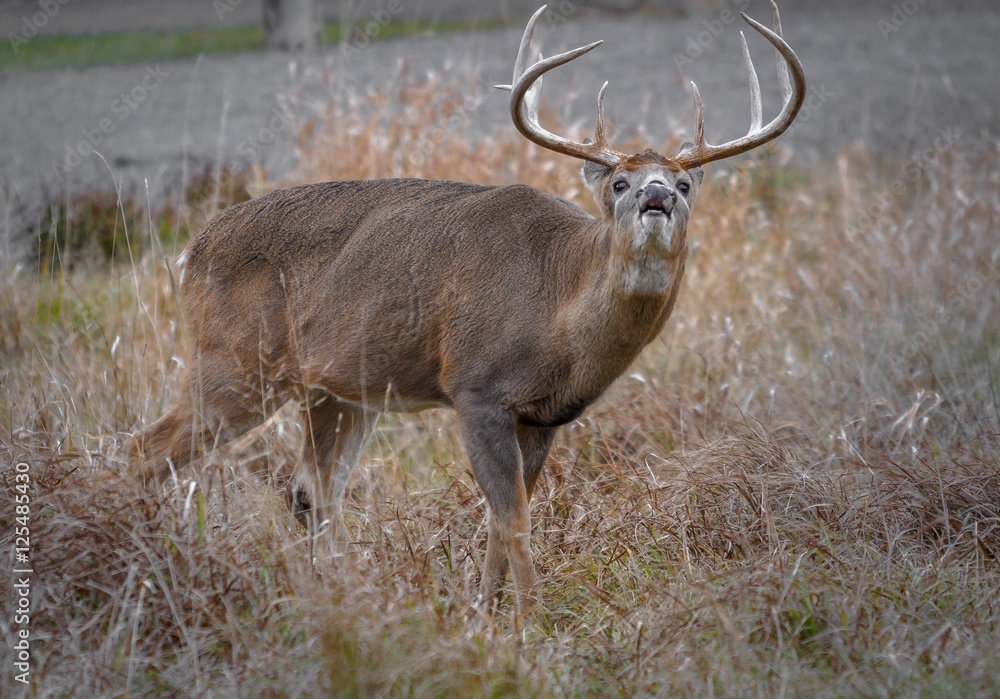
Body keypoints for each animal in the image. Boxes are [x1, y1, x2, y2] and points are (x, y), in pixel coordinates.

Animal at [130, 2, 805, 617]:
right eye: (619, 183)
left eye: (686, 184)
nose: (657, 195)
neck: (561, 311)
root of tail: (190, 252)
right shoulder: (477, 388)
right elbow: (513, 520)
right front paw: (533, 622)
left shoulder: (544, 416)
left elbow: (500, 520)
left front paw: (484, 610)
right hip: (235, 362)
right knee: (145, 451)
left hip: (337, 389)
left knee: (311, 491)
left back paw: (346, 596)